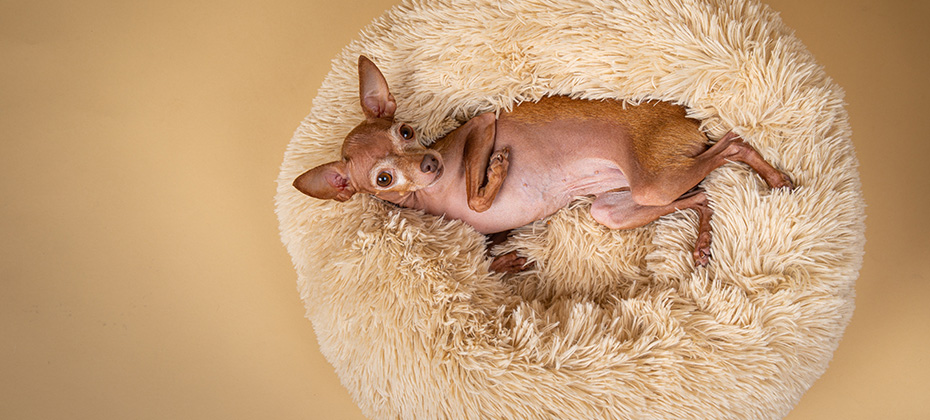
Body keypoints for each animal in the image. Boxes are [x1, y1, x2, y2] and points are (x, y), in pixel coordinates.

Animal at [292, 55, 792, 270]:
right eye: (383, 177)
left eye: (405, 132)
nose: (431, 164)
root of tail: (686, 119)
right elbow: (487, 241)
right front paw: (507, 260)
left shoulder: (484, 122)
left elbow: (476, 196)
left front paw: (494, 169)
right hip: (614, 208)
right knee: (702, 193)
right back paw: (703, 240)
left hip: (653, 182)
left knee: (733, 144)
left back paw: (776, 178)